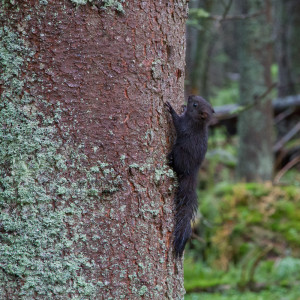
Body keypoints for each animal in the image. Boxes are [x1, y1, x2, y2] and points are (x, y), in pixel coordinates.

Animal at [165, 95, 214, 258]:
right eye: (197, 100)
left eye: (195, 105)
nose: (191, 96)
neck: (198, 123)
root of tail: (192, 172)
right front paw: (180, 106)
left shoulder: (184, 126)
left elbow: (176, 122)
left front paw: (171, 109)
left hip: (179, 152)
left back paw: (170, 161)